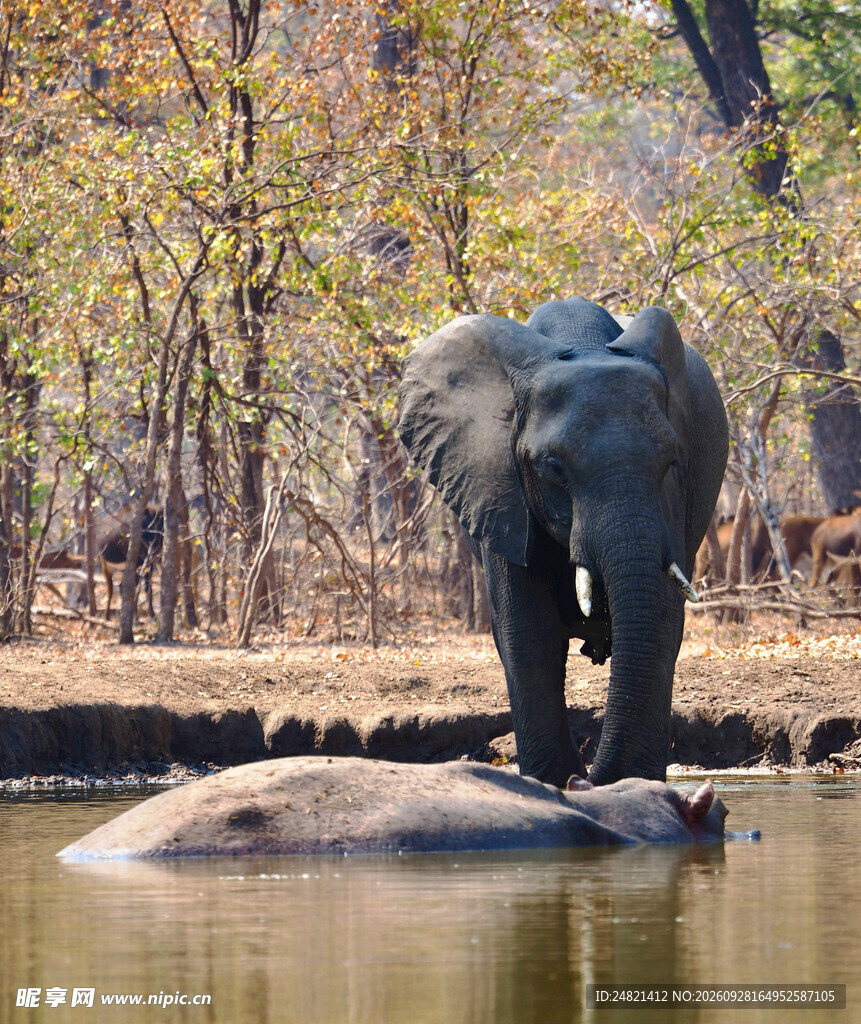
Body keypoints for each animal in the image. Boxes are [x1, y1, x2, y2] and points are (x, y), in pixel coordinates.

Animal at [398, 298, 728, 787]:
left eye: (671, 460)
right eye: (553, 467)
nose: (586, 777)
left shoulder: (676, 498)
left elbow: (663, 623)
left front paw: (635, 785)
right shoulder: (498, 487)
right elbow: (528, 634)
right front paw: (552, 782)